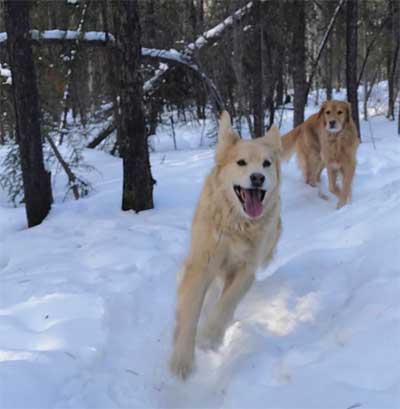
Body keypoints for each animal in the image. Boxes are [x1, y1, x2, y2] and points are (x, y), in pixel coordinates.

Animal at [170, 111, 282, 380]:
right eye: (241, 163)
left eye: (266, 163)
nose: (257, 178)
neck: (237, 226)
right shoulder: (202, 264)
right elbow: (190, 310)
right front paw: (182, 360)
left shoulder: (246, 269)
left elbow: (227, 302)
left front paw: (210, 336)